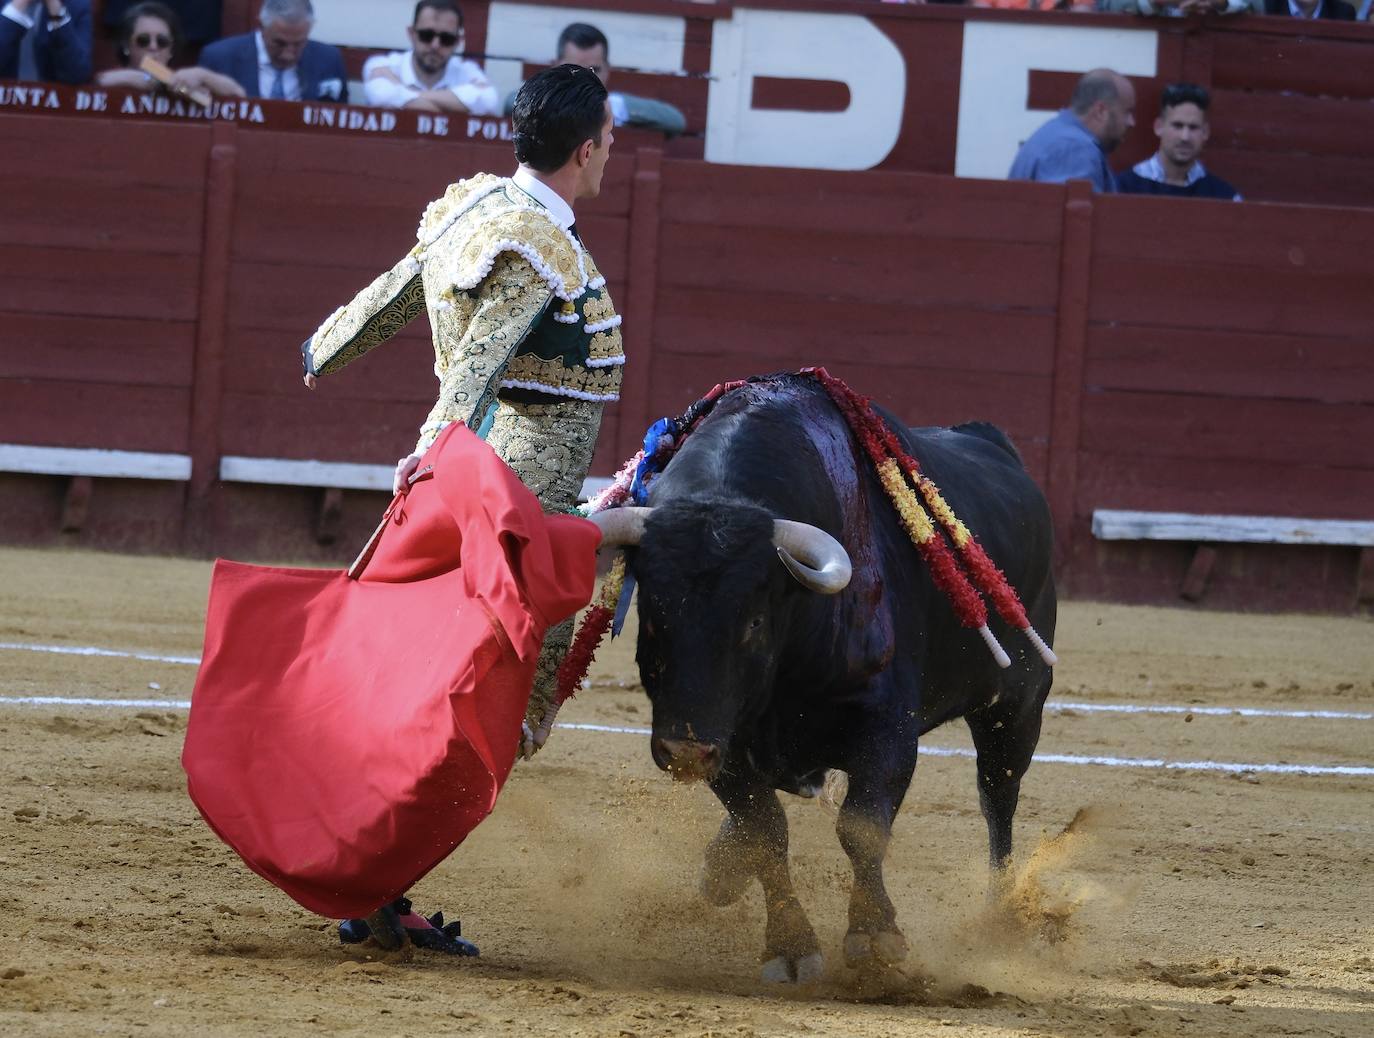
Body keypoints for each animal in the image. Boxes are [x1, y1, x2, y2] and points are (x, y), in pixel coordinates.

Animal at [599, 373, 1049, 984]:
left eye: (755, 621)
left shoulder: (887, 728)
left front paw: (875, 936)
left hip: (1017, 707)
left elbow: (861, 827)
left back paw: (998, 919)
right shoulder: (725, 738)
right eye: (653, 614)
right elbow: (764, 830)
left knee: (998, 799)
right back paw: (721, 869)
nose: (684, 751)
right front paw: (789, 945)